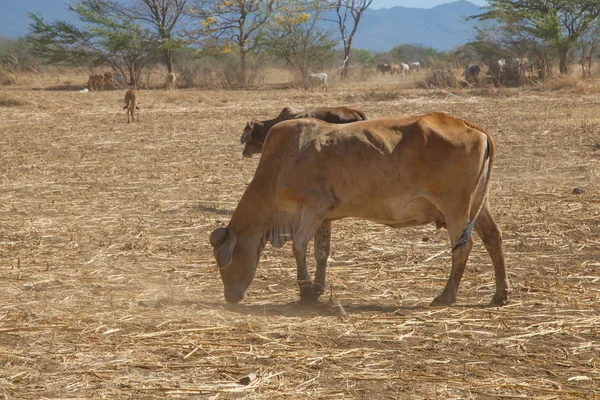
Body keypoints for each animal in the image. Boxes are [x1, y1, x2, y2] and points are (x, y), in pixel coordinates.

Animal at [211, 111, 510, 306]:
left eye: (225, 261)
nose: (230, 297)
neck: (280, 162)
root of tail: (472, 127)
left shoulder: (312, 209)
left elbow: (298, 246)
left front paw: (305, 292)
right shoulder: (324, 216)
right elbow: (321, 252)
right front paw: (317, 289)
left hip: (455, 209)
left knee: (463, 247)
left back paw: (446, 295)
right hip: (478, 205)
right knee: (493, 238)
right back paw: (500, 294)